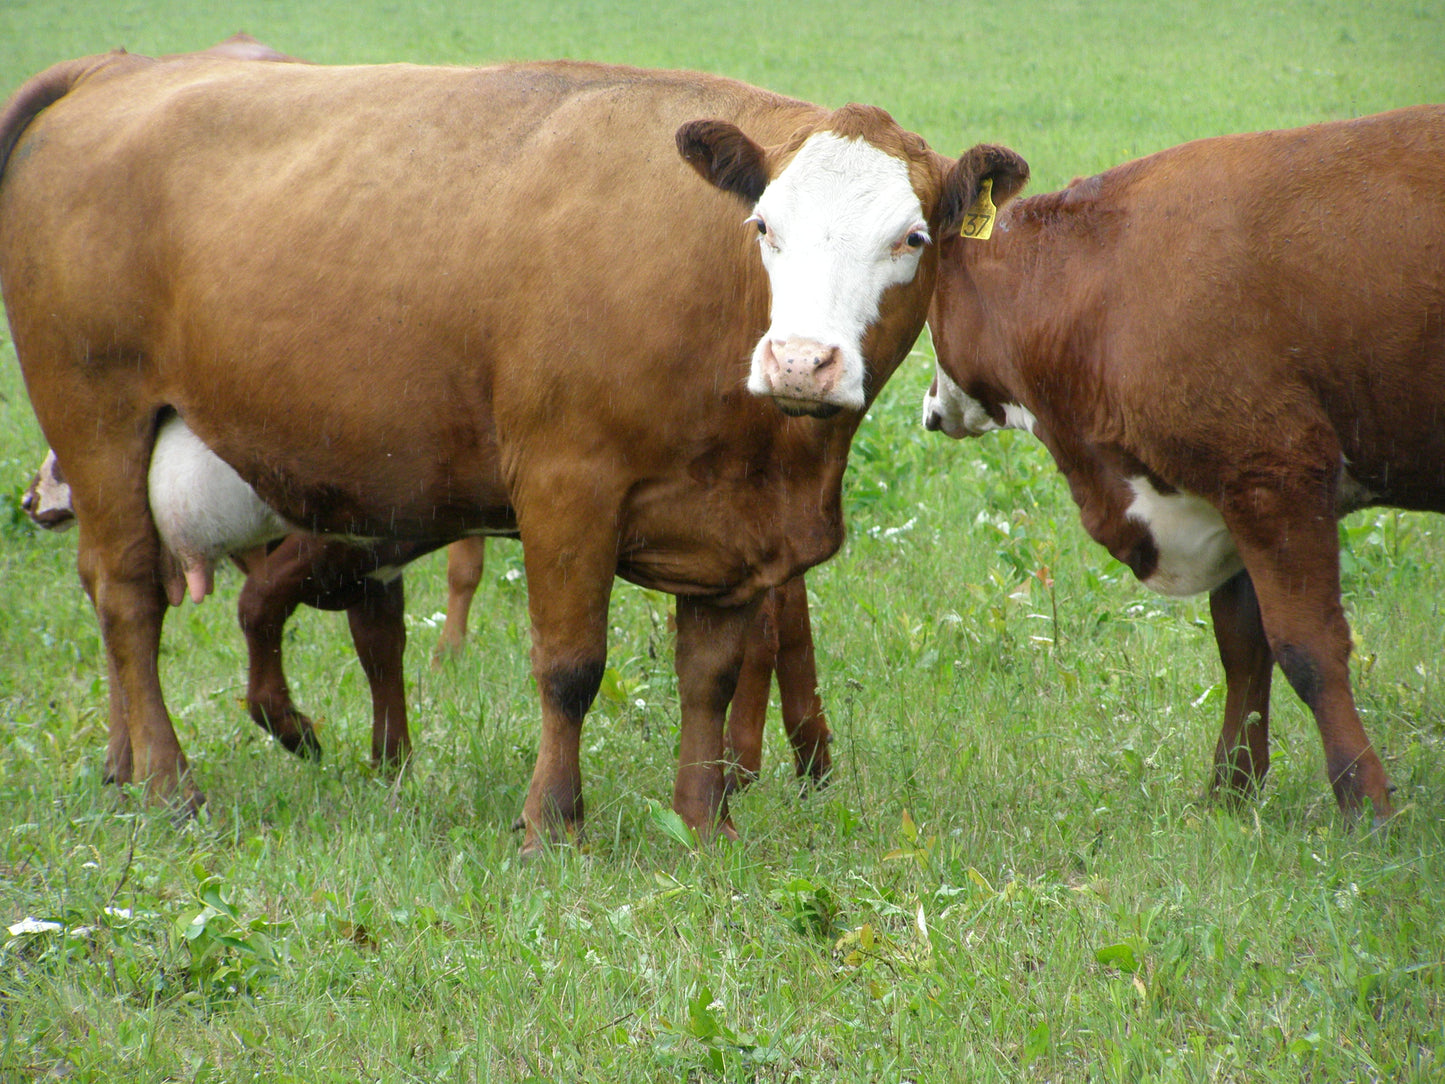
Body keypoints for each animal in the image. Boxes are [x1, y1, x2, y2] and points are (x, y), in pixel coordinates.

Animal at [924, 108, 1445, 820]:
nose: (929, 405)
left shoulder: (1272, 472)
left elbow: (1308, 649)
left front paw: (1366, 804)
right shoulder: (1230, 492)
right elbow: (1243, 644)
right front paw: (1232, 789)